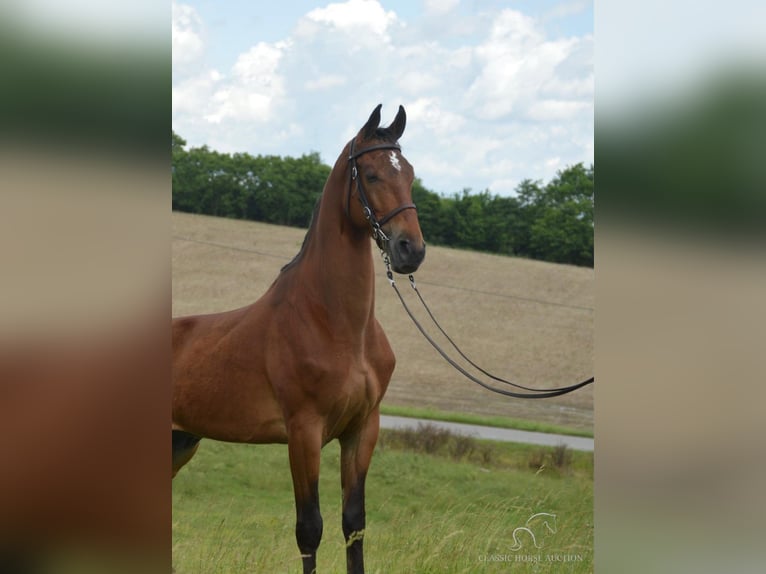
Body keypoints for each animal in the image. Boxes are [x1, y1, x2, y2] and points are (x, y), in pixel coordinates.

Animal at [172, 104, 426, 574]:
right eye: (371, 174)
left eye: (411, 174)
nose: (410, 250)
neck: (337, 325)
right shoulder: (304, 432)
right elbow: (310, 528)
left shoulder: (362, 429)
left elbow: (354, 525)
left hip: (180, 442)